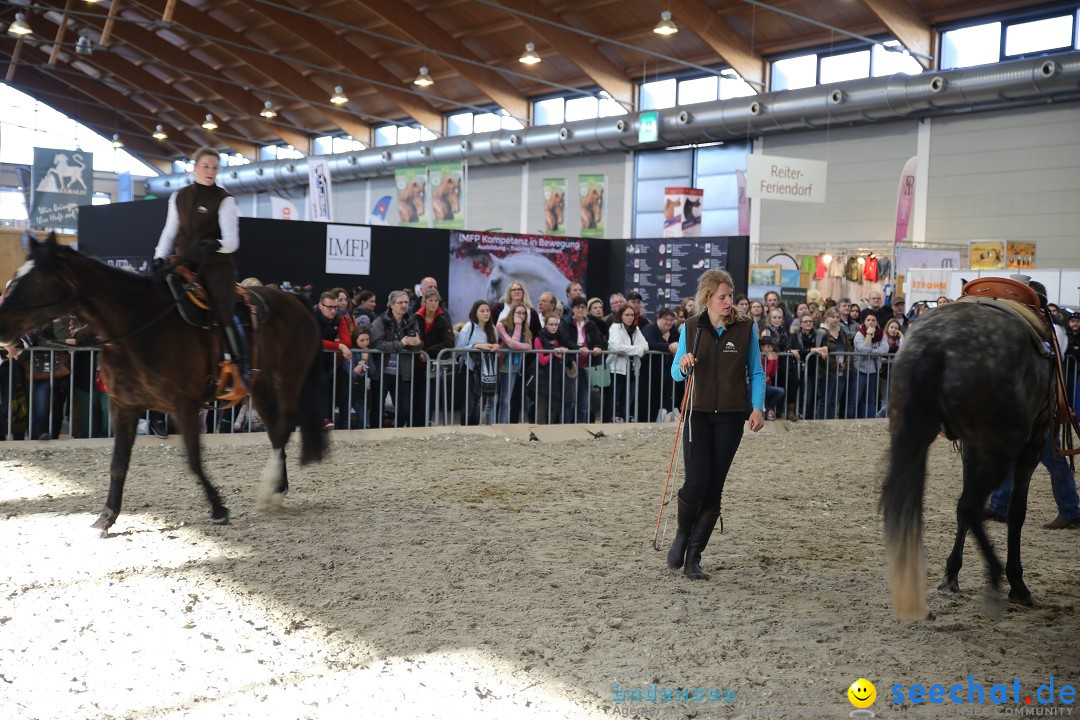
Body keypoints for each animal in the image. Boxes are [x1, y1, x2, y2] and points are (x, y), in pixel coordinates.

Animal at [0, 234, 324, 533]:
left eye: (37, 278)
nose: (4, 326)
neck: (139, 326)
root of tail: (296, 300)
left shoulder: (185, 404)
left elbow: (193, 459)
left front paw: (218, 509)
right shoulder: (124, 406)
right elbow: (118, 464)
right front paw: (106, 517)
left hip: (288, 378)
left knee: (283, 427)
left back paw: (272, 489)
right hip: (260, 383)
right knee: (275, 431)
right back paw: (275, 489)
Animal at [881, 302, 1049, 621]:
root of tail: (936, 342)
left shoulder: (971, 447)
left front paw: (951, 576)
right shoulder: (1031, 448)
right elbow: (1016, 513)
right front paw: (1018, 584)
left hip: (913, 434)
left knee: (953, 505)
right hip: (997, 450)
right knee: (970, 506)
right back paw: (996, 576)